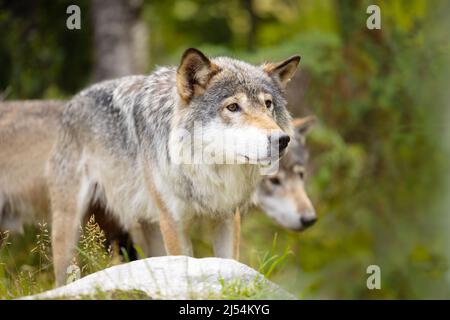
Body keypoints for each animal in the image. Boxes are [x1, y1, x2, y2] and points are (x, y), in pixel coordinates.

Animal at [47, 48, 298, 284]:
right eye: (233, 107)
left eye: (268, 104)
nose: (281, 140)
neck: (206, 169)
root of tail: (70, 105)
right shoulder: (172, 221)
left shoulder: (226, 216)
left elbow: (231, 262)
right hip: (71, 229)